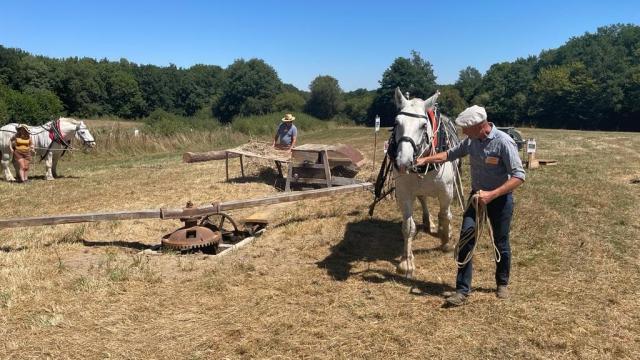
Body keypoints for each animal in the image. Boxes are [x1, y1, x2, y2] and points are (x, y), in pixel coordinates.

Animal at [390, 88, 460, 278]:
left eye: (423, 125)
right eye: (396, 122)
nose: (403, 162)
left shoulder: (446, 191)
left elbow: (445, 215)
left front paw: (446, 241)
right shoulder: (405, 193)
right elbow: (408, 226)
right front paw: (406, 262)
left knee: (444, 212)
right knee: (424, 200)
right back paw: (430, 222)